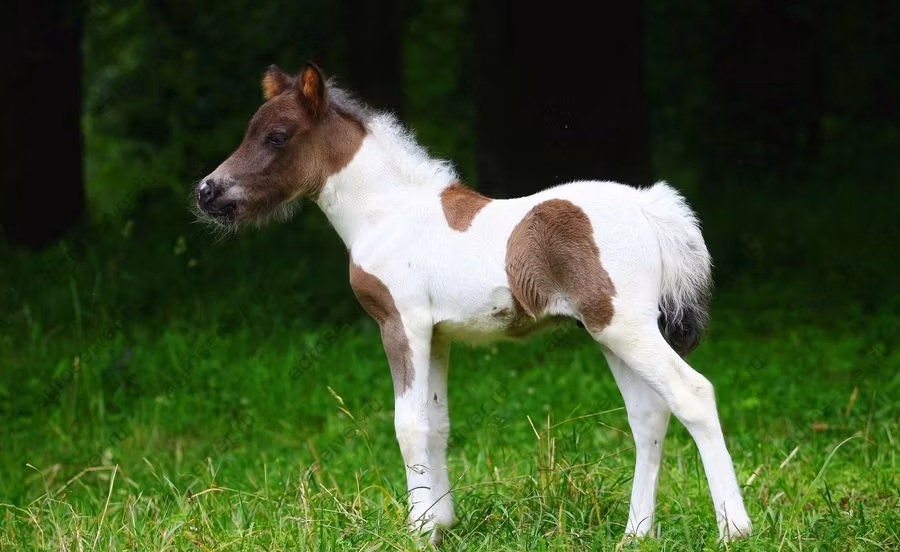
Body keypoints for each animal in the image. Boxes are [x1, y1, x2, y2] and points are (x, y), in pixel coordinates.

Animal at [194, 62, 752, 545]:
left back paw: (734, 530)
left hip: (625, 327)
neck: (390, 213)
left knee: (692, 394)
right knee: (648, 415)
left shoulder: (402, 324)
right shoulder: (438, 335)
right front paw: (441, 523)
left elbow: (409, 424)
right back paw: (635, 534)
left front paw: (418, 530)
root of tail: (647, 205)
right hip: (611, 333)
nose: (207, 192)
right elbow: (437, 424)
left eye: (277, 136)